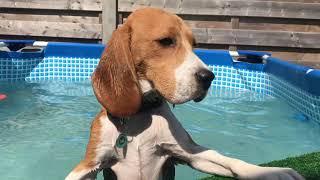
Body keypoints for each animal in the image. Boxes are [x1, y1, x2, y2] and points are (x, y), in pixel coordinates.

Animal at [66, 7, 304, 179]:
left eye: (193, 44)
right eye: (166, 41)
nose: (208, 77)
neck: (141, 115)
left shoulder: (189, 153)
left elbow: (230, 161)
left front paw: (273, 172)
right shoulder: (89, 163)